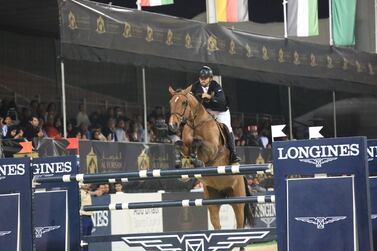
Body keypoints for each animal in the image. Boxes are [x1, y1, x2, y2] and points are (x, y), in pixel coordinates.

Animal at [167, 85, 253, 232]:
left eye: (184, 103)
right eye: (170, 103)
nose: (173, 125)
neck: (196, 124)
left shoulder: (212, 150)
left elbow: (198, 142)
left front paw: (196, 160)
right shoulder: (185, 145)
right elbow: (179, 144)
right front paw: (181, 164)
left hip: (238, 199)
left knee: (240, 222)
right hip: (213, 199)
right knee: (216, 223)